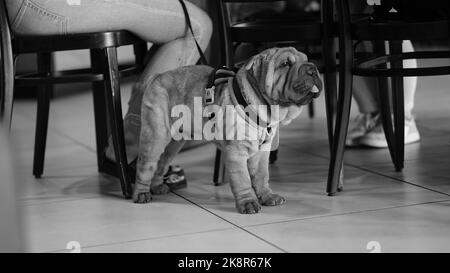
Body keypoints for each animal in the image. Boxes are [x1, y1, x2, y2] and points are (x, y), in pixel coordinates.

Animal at [132, 46, 322, 212]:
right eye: (285, 64)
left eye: (307, 59)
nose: (312, 69)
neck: (264, 106)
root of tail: (156, 76)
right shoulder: (236, 151)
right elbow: (243, 179)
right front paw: (248, 203)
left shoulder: (262, 152)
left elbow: (262, 176)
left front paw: (267, 196)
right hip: (156, 136)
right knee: (145, 165)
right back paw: (141, 194)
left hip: (175, 143)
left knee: (161, 162)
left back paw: (157, 187)